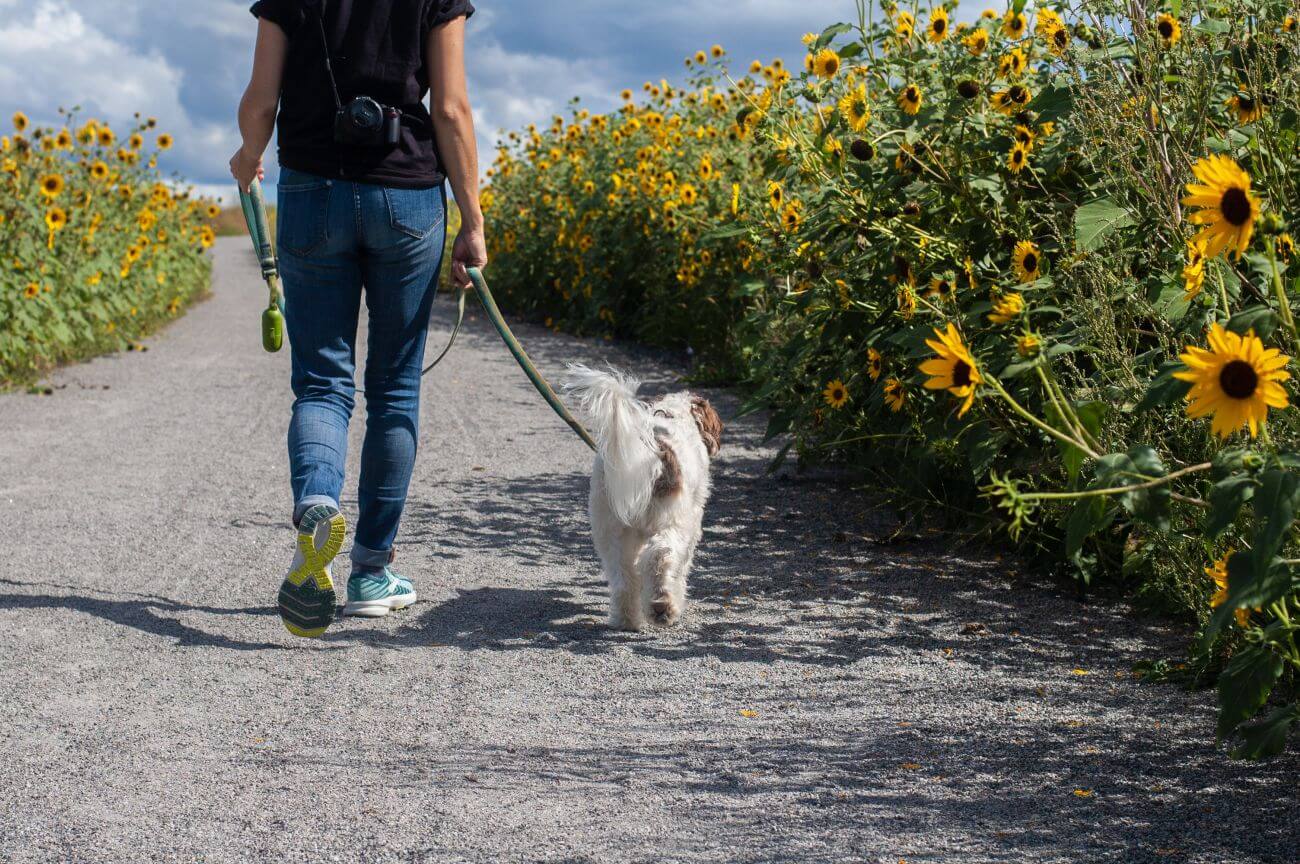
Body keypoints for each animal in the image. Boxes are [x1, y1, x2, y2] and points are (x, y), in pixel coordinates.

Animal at [561, 361, 722, 631]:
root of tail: (653, 449)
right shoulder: (691, 524)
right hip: (671, 522)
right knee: (660, 557)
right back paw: (662, 606)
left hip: (610, 528)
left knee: (623, 577)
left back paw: (626, 619)